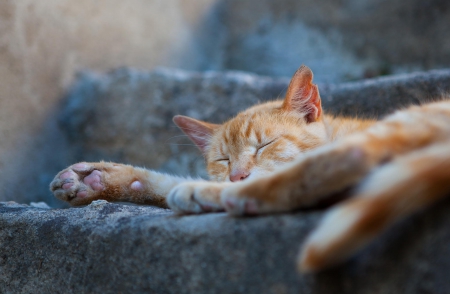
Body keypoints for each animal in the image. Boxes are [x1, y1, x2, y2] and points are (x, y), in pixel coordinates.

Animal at [49, 65, 450, 274]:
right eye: (223, 160)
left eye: (263, 146)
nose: (236, 175)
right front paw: (101, 179)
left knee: (348, 160)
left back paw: (218, 194)